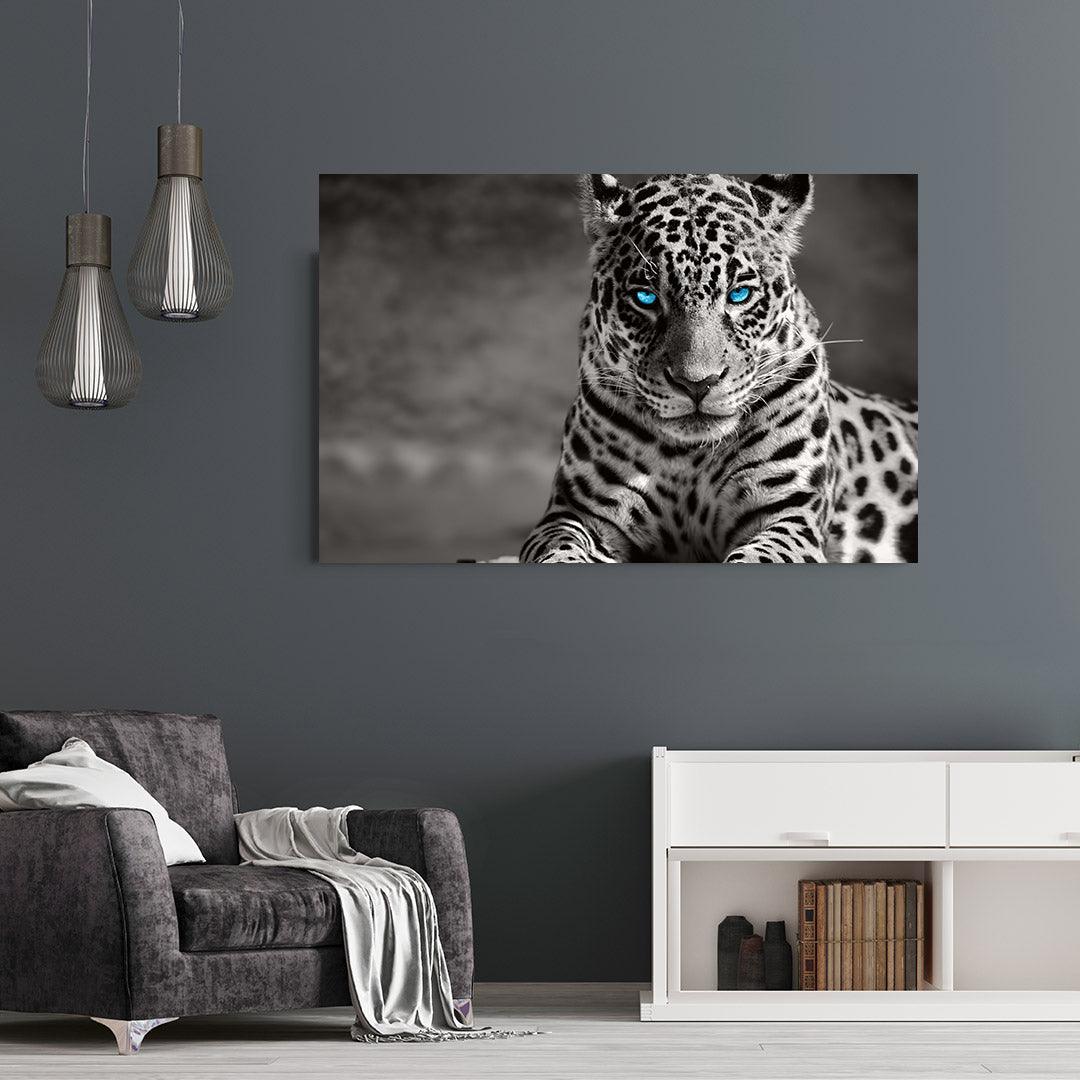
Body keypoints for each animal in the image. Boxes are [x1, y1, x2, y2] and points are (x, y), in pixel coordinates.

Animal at [520, 173, 917, 564]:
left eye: (739, 294)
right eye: (645, 297)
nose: (697, 383)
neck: (688, 457)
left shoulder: (788, 514)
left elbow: (757, 558)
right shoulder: (575, 512)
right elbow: (558, 551)